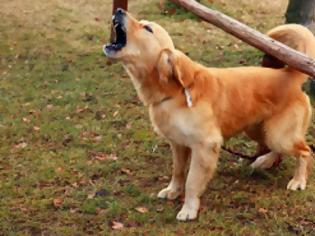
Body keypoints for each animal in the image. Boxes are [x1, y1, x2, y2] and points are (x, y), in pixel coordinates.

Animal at [104, 7, 315, 221]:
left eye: (147, 28)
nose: (119, 10)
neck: (174, 93)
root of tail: (288, 74)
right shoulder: (178, 144)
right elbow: (178, 171)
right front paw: (173, 191)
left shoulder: (205, 146)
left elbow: (191, 181)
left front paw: (189, 209)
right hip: (259, 130)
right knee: (278, 149)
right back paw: (264, 161)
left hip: (279, 135)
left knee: (305, 152)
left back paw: (298, 180)